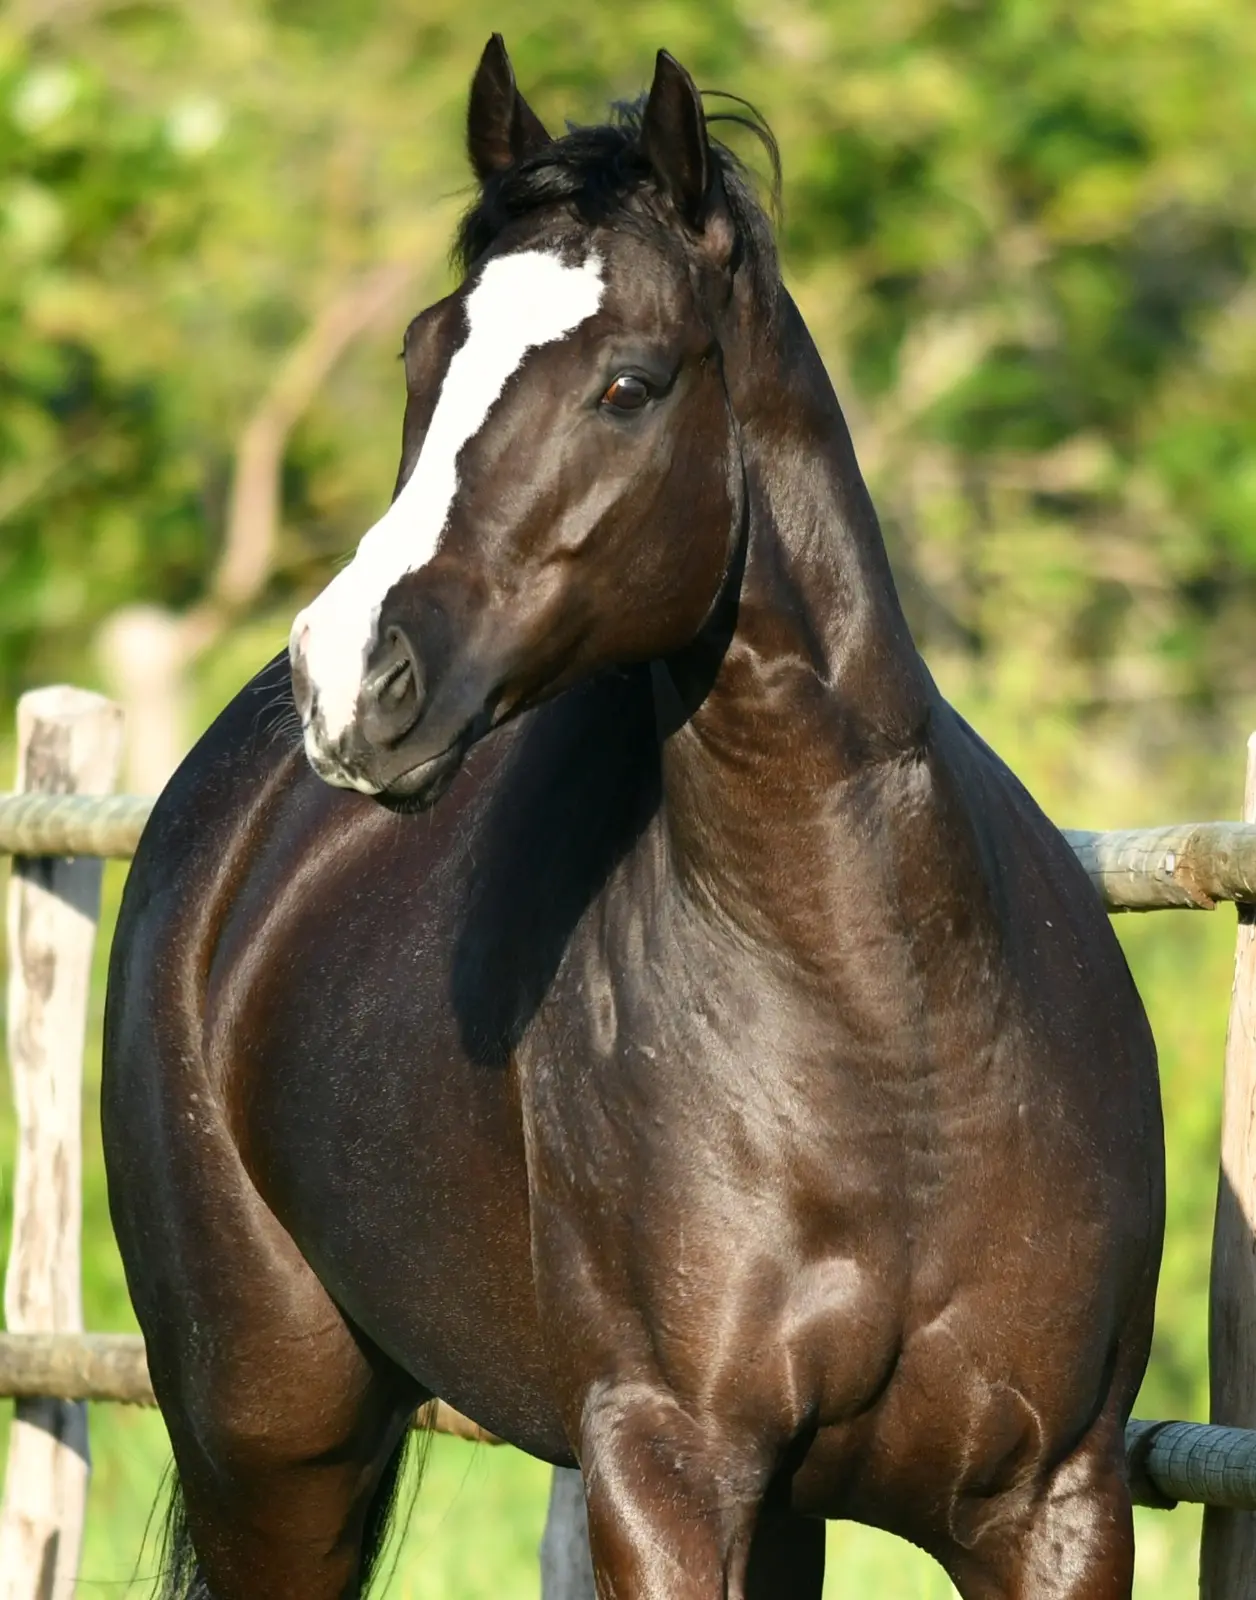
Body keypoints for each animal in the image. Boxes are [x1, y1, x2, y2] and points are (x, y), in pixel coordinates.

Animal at [102, 36, 1165, 1600]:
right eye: (424, 355)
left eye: (627, 384)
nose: (347, 674)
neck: (891, 1027)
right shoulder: (664, 1469)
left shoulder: (1052, 1501)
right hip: (272, 1437)